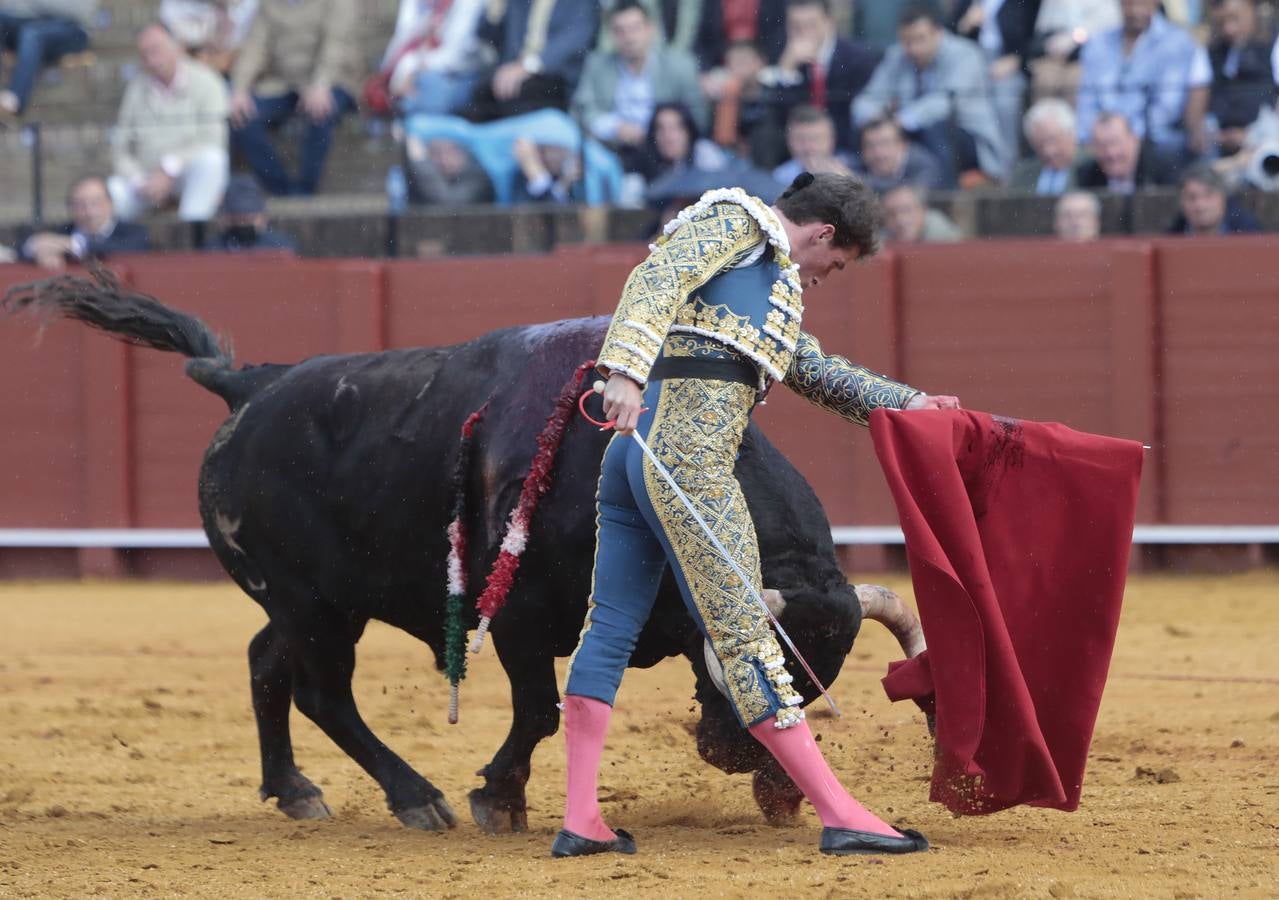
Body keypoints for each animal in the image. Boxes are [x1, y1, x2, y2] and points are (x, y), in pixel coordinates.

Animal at [0, 272, 920, 838]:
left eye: (824, 670)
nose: (739, 759)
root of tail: (250, 385)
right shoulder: (516, 619)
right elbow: (540, 711)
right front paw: (496, 798)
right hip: (312, 605)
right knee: (322, 693)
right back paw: (417, 798)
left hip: (313, 601)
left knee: (266, 663)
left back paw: (296, 792)